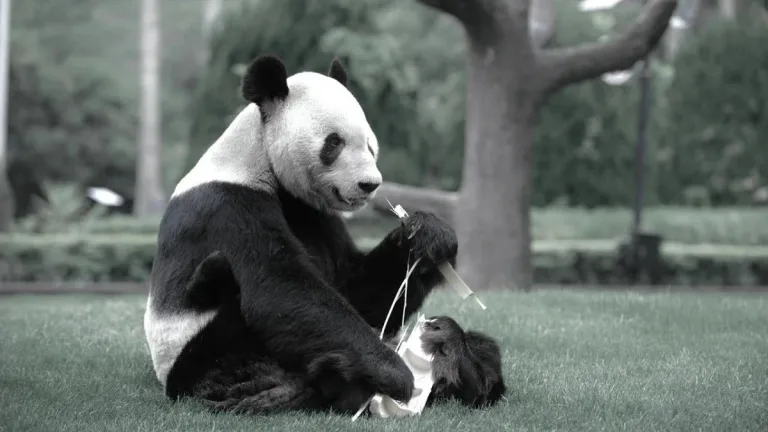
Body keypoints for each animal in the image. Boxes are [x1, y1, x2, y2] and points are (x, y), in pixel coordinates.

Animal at [143, 54, 460, 414]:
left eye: (369, 144)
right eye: (334, 142)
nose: (369, 184)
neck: (259, 158)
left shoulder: (319, 217)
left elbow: (355, 289)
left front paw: (428, 237)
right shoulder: (226, 207)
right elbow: (280, 287)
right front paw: (394, 374)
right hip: (194, 349)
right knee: (223, 301)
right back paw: (265, 388)